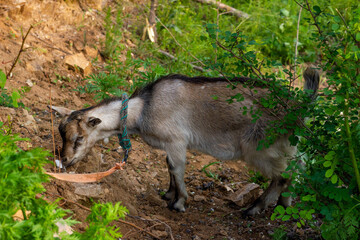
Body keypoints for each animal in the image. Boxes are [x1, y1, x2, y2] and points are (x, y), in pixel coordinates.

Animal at [50, 68, 318, 216]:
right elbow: (169, 168)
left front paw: (178, 202)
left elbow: (176, 169)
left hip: (261, 148)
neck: (143, 109)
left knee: (283, 176)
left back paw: (253, 208)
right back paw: (285, 205)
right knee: (299, 168)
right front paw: (168, 194)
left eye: (79, 137)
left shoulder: (176, 141)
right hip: (289, 146)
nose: (66, 160)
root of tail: (300, 108)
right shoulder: (170, 145)